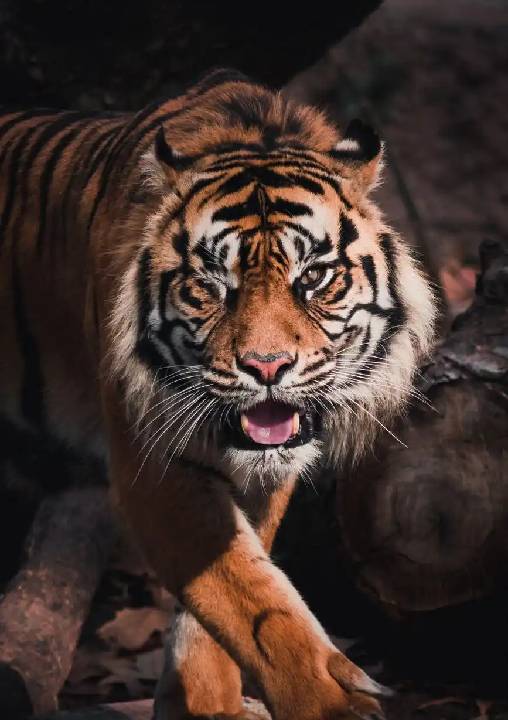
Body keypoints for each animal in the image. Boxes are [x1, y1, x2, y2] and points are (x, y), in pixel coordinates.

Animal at [0, 69, 435, 719]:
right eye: (211, 285)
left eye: (313, 278)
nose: (267, 366)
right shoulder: (153, 463)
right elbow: (246, 597)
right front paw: (328, 701)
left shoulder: (261, 476)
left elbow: (231, 589)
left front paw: (208, 705)